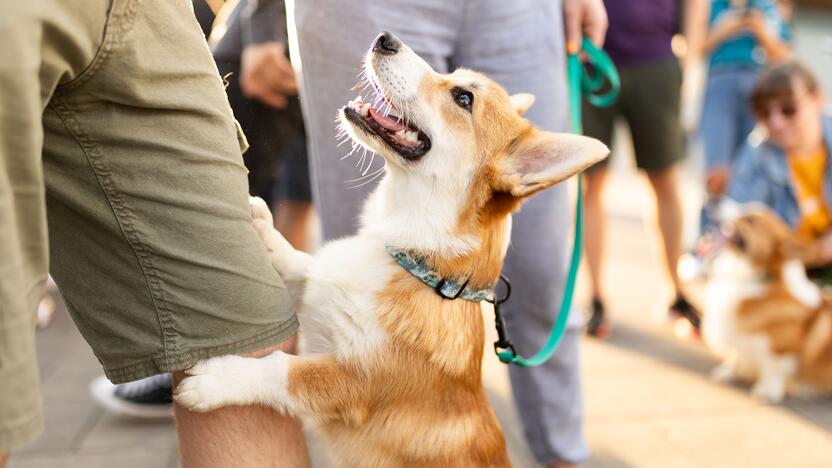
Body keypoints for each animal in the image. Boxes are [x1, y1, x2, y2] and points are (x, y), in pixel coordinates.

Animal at [172, 31, 608, 466]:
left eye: (463, 98)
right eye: (454, 78)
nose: (385, 38)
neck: (416, 265)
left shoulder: (351, 382)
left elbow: (285, 371)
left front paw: (218, 379)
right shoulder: (321, 290)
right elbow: (304, 266)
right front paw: (266, 230)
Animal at [704, 207, 832, 404]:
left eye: (750, 220)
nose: (714, 205)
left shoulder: (781, 351)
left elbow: (772, 370)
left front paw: (767, 391)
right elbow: (735, 356)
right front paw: (727, 372)